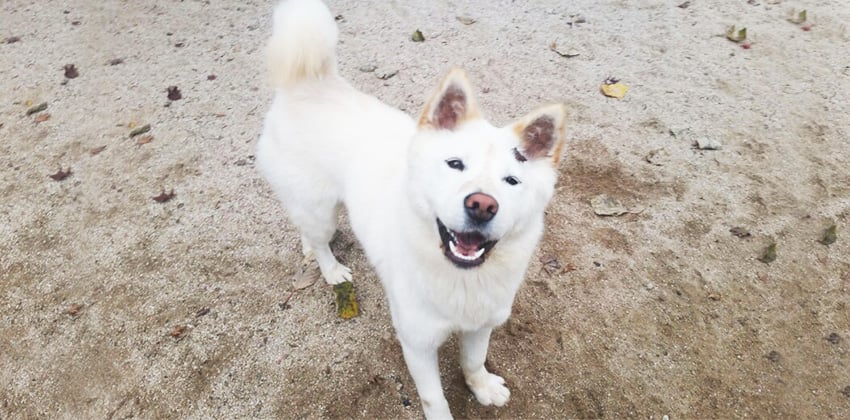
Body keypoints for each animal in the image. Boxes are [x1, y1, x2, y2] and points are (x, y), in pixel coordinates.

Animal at [255, 0, 568, 416]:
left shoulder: (481, 324)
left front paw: (483, 387)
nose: (482, 205)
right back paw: (332, 269)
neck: (461, 279)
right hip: (320, 209)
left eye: (511, 181)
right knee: (320, 238)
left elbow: (473, 361)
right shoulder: (417, 343)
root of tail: (308, 82)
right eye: (455, 164)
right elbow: (434, 398)